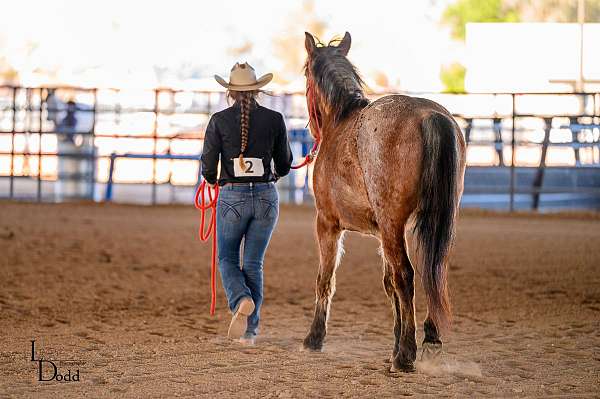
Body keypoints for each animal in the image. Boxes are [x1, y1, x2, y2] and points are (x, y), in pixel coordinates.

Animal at [302, 32, 466, 376]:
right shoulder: (381, 232)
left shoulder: (327, 223)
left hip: (391, 224)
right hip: (434, 222)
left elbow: (326, 280)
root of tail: (429, 115)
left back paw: (405, 355)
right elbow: (388, 283)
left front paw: (314, 338)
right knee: (433, 270)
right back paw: (426, 341)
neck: (341, 119)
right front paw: (394, 340)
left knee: (407, 275)